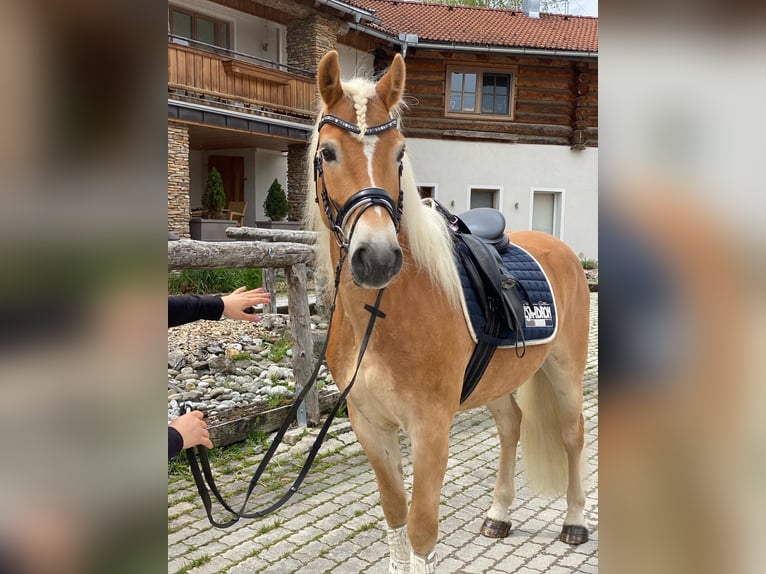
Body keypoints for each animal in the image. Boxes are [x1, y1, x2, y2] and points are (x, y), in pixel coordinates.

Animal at [304, 51, 592, 572]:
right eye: (329, 153)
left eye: (399, 154)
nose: (378, 258)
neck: (381, 317)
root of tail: (557, 246)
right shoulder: (370, 425)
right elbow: (395, 516)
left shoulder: (431, 428)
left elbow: (421, 531)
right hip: (497, 379)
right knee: (511, 426)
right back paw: (499, 514)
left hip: (565, 372)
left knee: (572, 435)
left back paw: (575, 522)